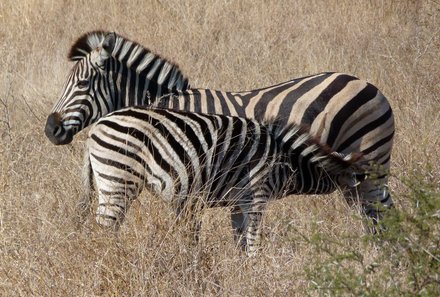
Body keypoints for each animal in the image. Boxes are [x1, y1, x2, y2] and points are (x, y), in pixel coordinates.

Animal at [45, 31, 396, 230]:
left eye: (83, 84)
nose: (51, 129)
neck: (168, 102)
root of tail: (371, 87)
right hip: (360, 177)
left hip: (370, 165)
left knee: (379, 215)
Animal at [81, 106, 360, 254]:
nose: (366, 219)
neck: (287, 162)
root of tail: (97, 126)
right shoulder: (258, 194)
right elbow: (253, 239)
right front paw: (255, 268)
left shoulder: (239, 202)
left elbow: (239, 239)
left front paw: (241, 268)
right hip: (119, 178)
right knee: (105, 227)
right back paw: (110, 256)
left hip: (110, 180)